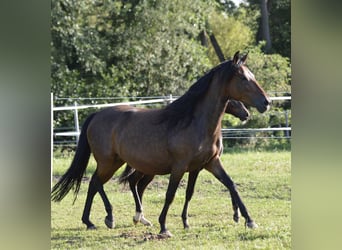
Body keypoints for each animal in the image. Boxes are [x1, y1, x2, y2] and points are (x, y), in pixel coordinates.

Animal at [119, 98, 250, 228]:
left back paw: (142, 218)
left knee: (140, 186)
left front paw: (237, 215)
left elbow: (228, 184)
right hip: (145, 168)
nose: (246, 114)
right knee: (133, 182)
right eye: (233, 100)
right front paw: (237, 215)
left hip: (150, 170)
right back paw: (138, 217)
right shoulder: (199, 167)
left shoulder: (209, 164)